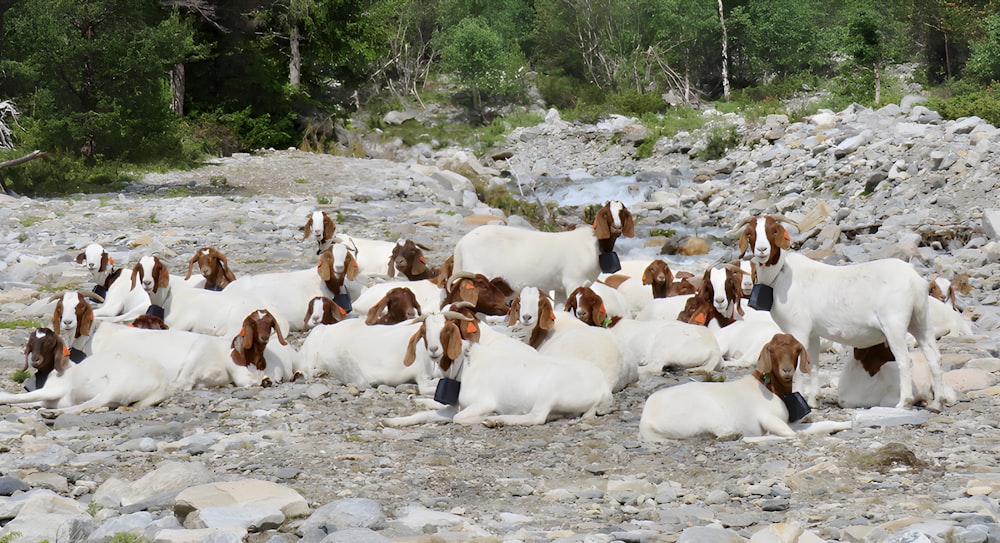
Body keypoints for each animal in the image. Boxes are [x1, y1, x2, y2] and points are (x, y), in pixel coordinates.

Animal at [452, 200, 632, 302]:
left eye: (623, 213)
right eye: (606, 214)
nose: (616, 228)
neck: (594, 246)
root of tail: (461, 245)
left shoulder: (560, 288)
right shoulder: (573, 282)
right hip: (476, 272)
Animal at [740, 215, 956, 410]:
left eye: (774, 231)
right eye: (750, 233)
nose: (762, 250)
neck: (781, 275)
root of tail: (914, 280)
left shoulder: (798, 329)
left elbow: (800, 368)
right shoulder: (813, 333)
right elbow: (813, 365)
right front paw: (814, 401)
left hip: (894, 324)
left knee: (905, 360)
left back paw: (904, 403)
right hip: (920, 321)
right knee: (934, 357)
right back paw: (937, 403)